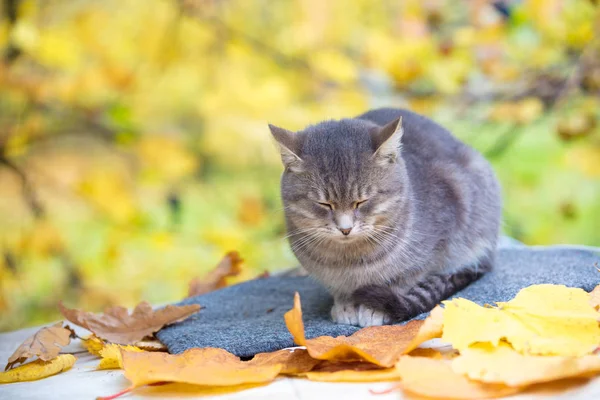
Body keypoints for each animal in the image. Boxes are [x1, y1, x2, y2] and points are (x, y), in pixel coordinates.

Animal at [268, 108, 502, 326]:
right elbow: (340, 289)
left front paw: (373, 309)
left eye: (361, 201)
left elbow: (401, 281)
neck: (349, 261)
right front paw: (345, 305)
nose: (345, 229)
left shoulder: (432, 250)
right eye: (324, 204)